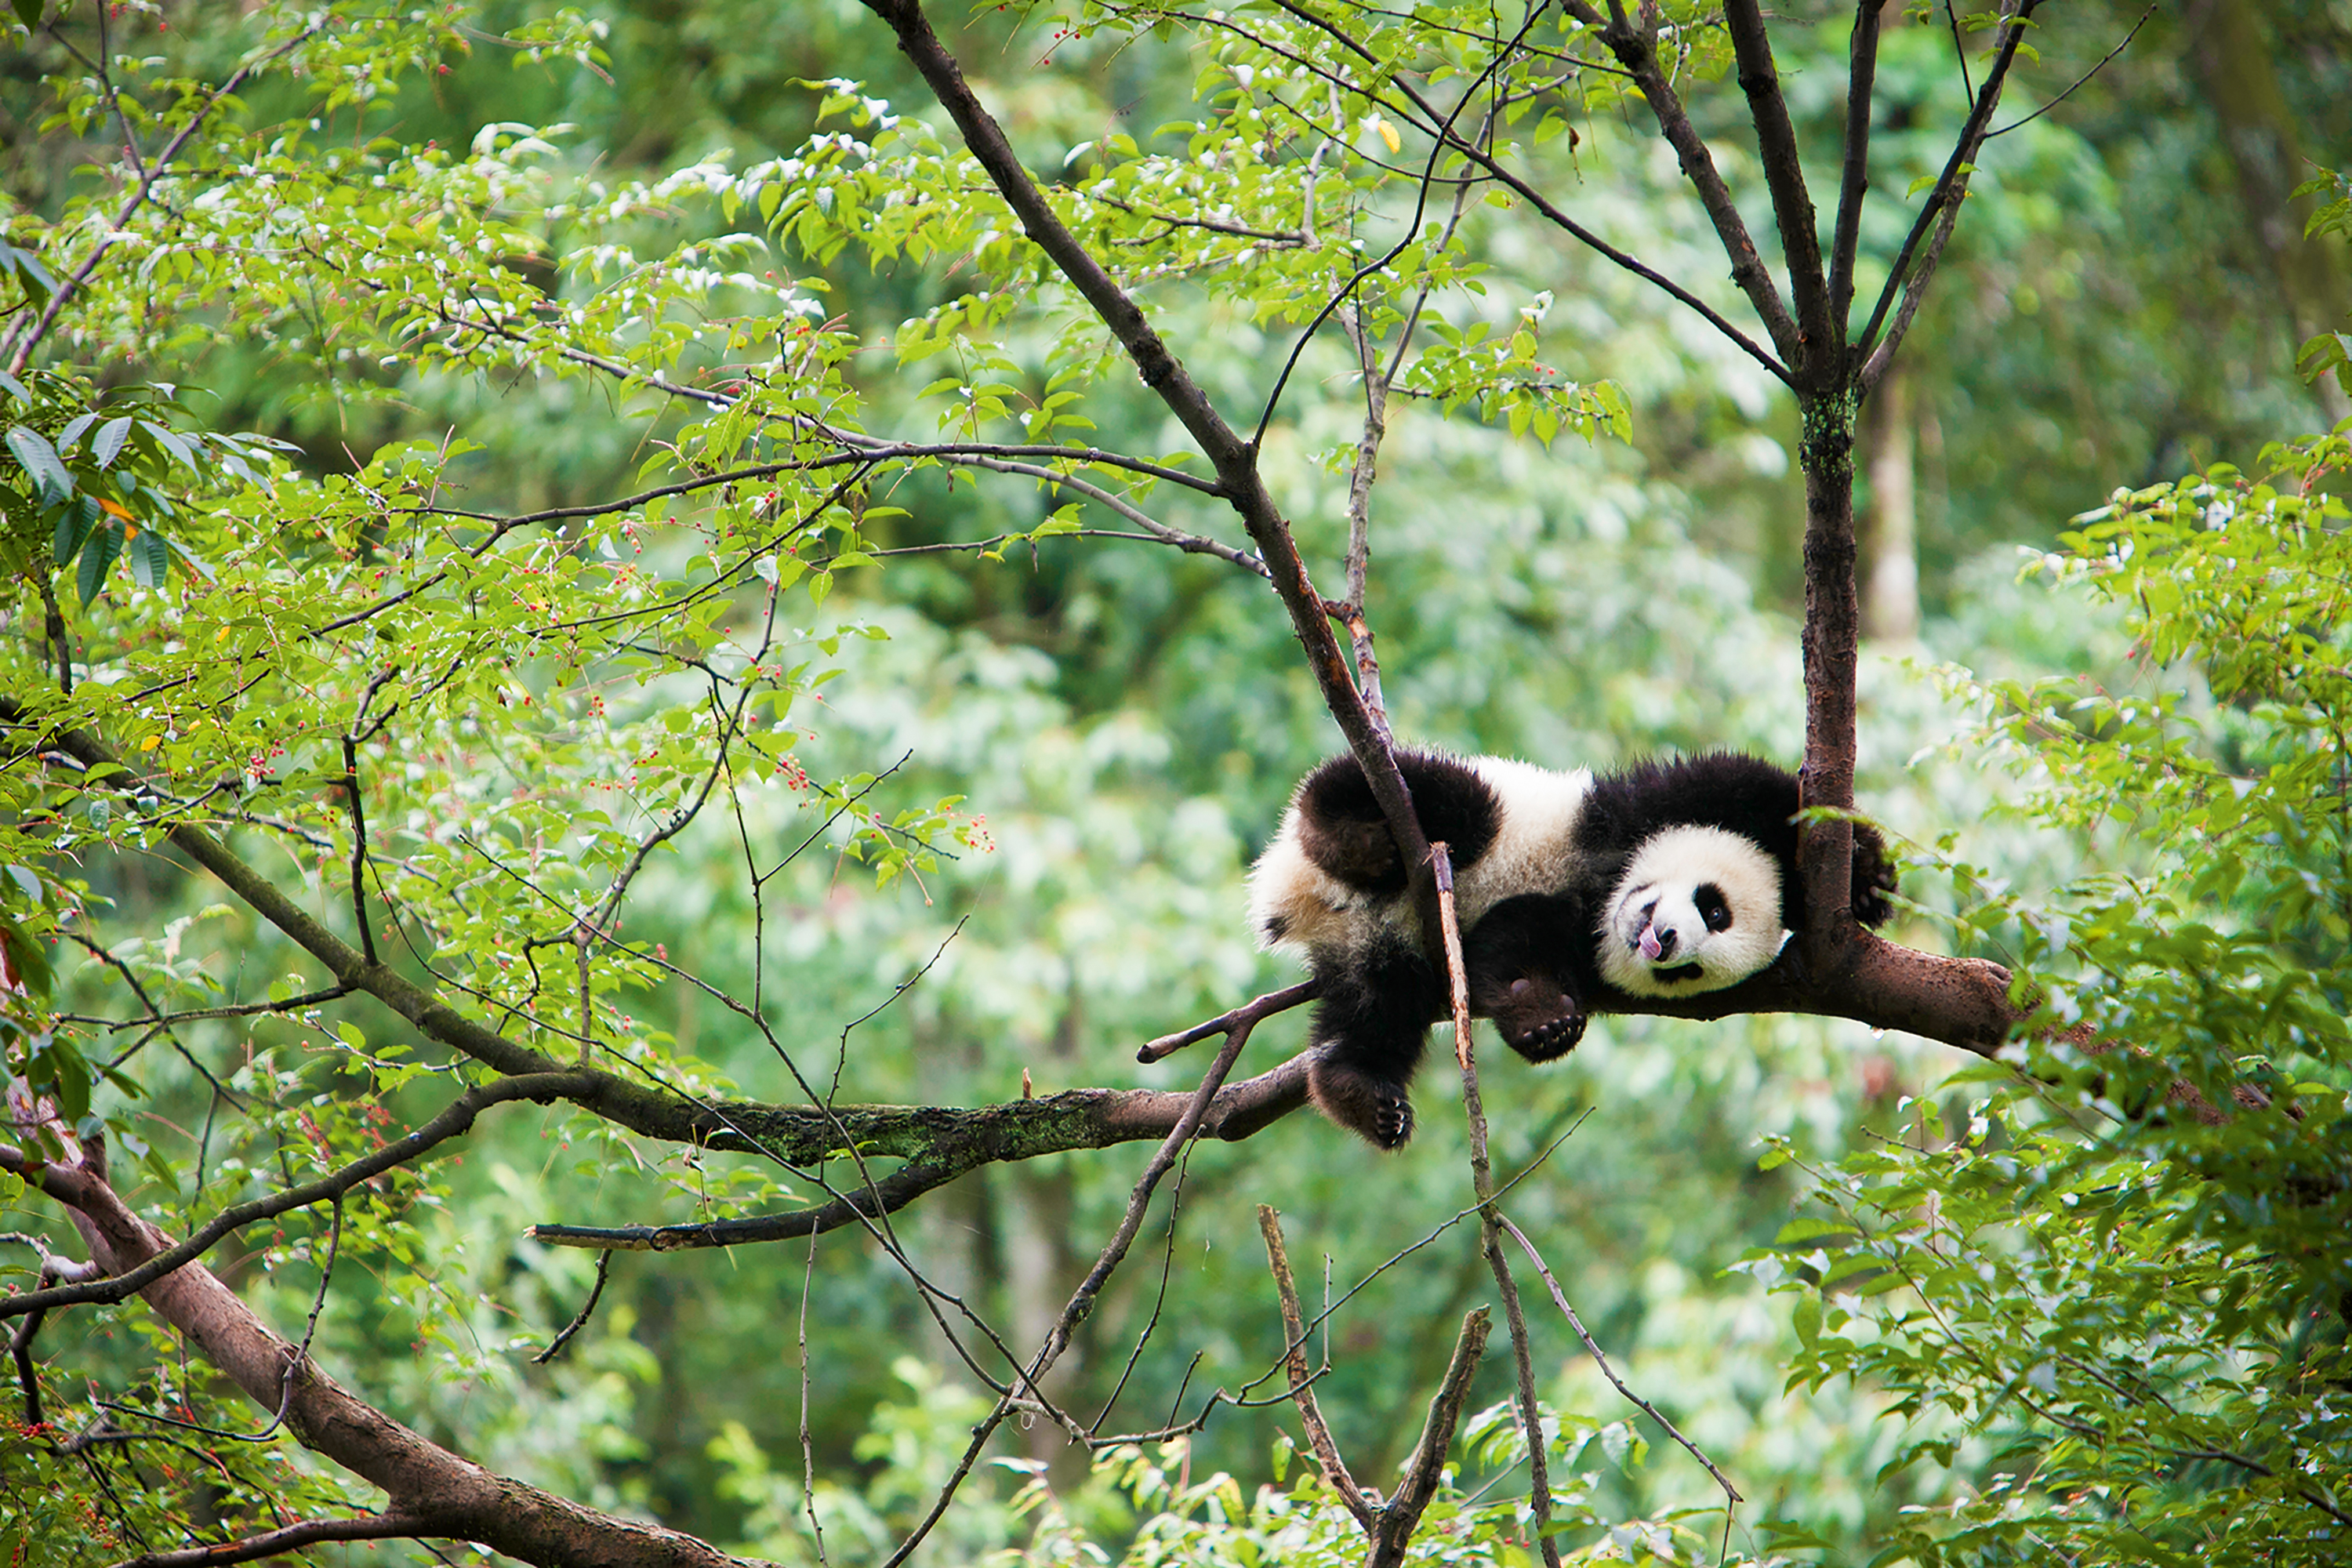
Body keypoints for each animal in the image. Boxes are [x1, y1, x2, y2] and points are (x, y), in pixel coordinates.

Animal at [1248, 748, 1896, 1149]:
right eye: (1715, 910)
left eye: (1689, 974)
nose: (1663, 943)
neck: (1601, 896)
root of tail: (1305, 902)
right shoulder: (1639, 810)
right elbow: (1758, 790)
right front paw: (1867, 879)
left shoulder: (1559, 932)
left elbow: (1513, 953)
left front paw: (1545, 1023)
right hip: (1458, 814)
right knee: (1426, 794)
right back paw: (1351, 839)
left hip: (1382, 952)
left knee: (1380, 1007)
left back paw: (1362, 1094)